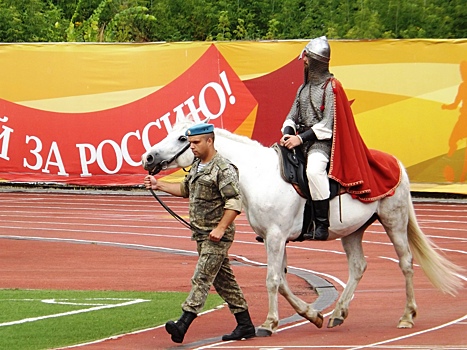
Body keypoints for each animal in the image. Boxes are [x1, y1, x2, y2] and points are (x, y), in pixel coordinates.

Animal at [142, 120, 464, 336]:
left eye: (182, 137)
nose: (148, 157)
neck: (258, 175)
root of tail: (396, 162)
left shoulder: (276, 237)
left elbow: (272, 280)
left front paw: (269, 323)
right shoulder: (274, 239)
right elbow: (283, 281)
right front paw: (312, 315)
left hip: (394, 220)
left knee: (406, 263)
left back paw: (407, 316)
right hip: (353, 231)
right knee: (358, 267)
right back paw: (337, 314)